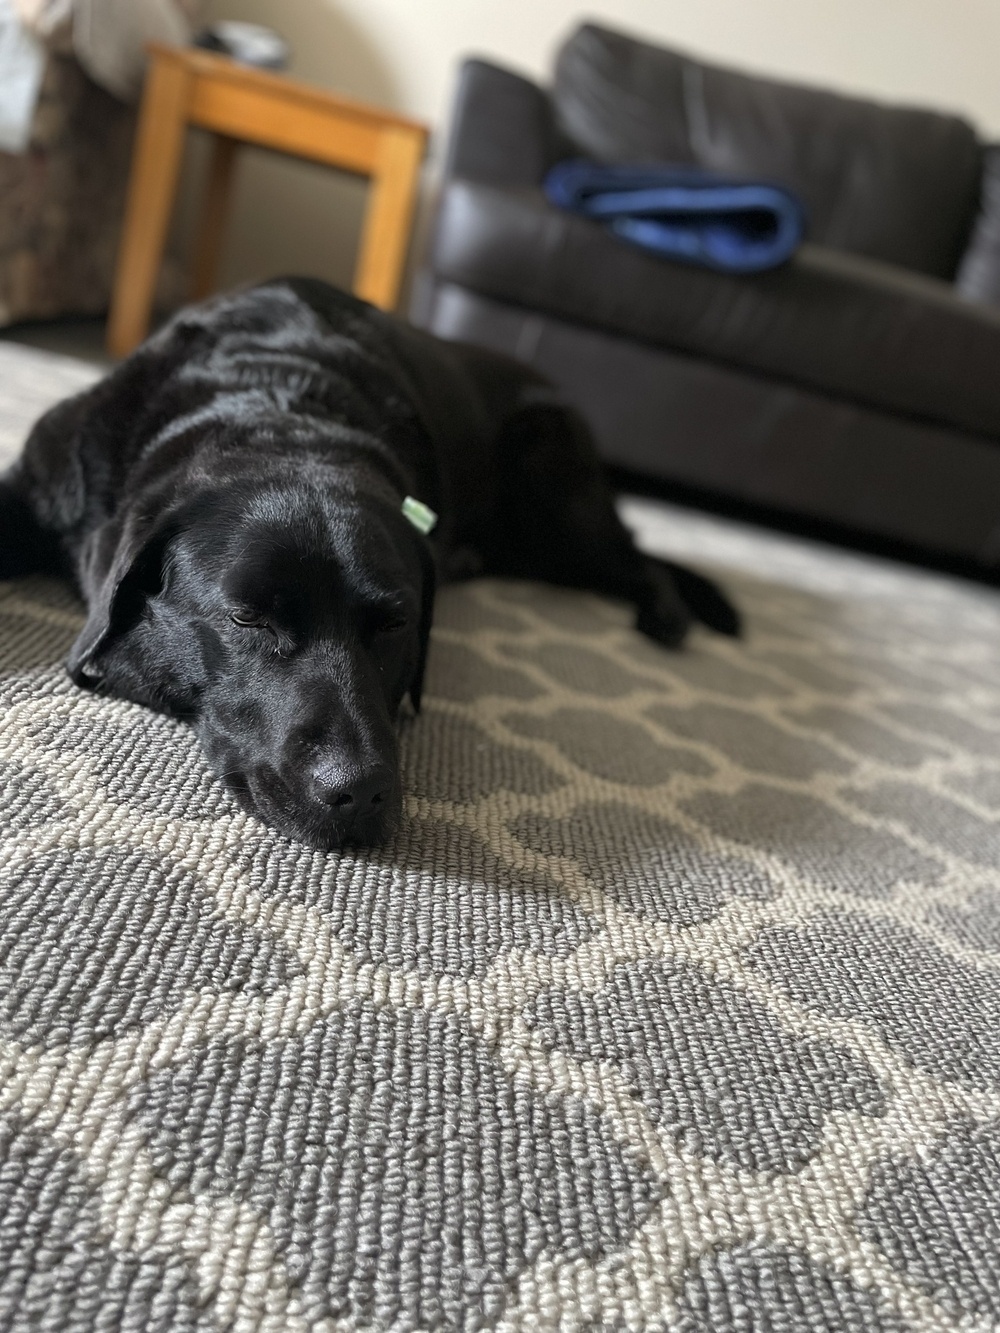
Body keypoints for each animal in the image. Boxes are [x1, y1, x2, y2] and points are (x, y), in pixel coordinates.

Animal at [0, 277, 736, 847]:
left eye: (393, 625)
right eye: (246, 618)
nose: (359, 792)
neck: (281, 403)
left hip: (555, 506)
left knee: (639, 555)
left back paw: (668, 617)